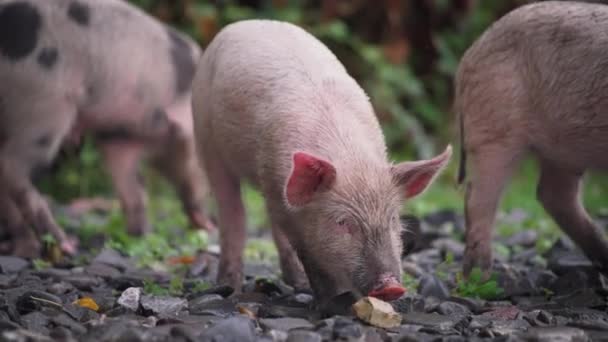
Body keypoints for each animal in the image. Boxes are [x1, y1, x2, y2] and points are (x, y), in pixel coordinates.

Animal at [0, 0, 216, 258]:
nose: (211, 224)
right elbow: (186, 173)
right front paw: (204, 225)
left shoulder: (119, 136)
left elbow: (133, 187)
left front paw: (139, 237)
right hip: (44, 104)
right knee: (11, 166)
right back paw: (67, 246)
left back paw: (25, 249)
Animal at [190, 19, 452, 302]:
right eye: (342, 222)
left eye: (393, 218)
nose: (391, 286)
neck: (350, 159)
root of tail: (243, 24)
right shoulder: (284, 203)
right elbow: (308, 254)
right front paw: (329, 301)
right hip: (205, 137)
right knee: (232, 211)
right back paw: (230, 287)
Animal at [454, 0, 608, 276]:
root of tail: (469, 54)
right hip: (495, 124)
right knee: (478, 195)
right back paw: (480, 275)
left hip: (564, 150)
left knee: (554, 194)